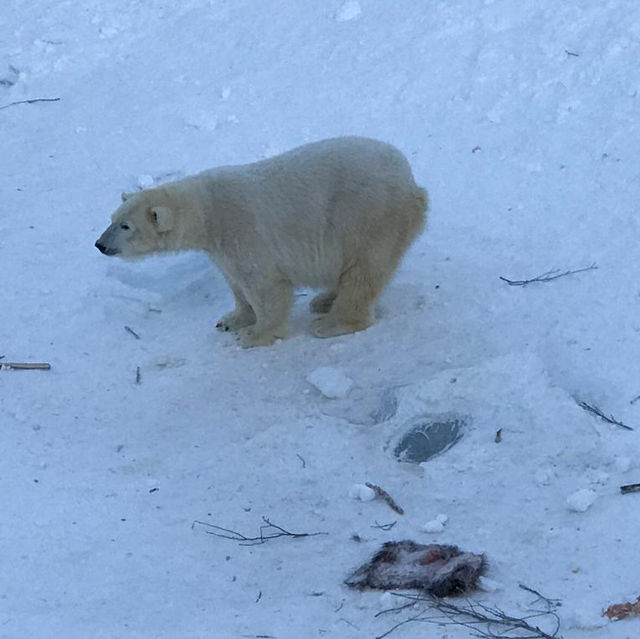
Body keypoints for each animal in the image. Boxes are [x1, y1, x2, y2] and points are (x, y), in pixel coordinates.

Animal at [95, 138, 428, 348]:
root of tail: (412, 184)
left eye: (126, 226)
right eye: (112, 218)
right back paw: (324, 299)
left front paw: (255, 335)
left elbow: (265, 287)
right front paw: (232, 320)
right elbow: (236, 283)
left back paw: (331, 322)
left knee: (363, 272)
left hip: (366, 218)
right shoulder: (220, 248)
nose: (100, 244)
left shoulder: (243, 231)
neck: (207, 211)